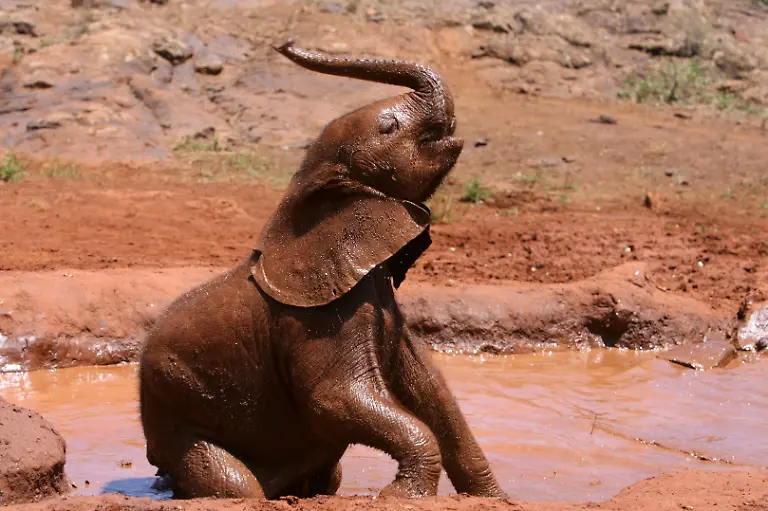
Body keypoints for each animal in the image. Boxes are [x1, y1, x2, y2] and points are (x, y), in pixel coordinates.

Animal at [138, 39, 506, 501]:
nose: (284, 42)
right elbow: (335, 399)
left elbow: (431, 389)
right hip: (176, 417)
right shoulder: (317, 319)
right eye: (388, 125)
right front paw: (400, 497)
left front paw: (491, 498)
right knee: (235, 483)